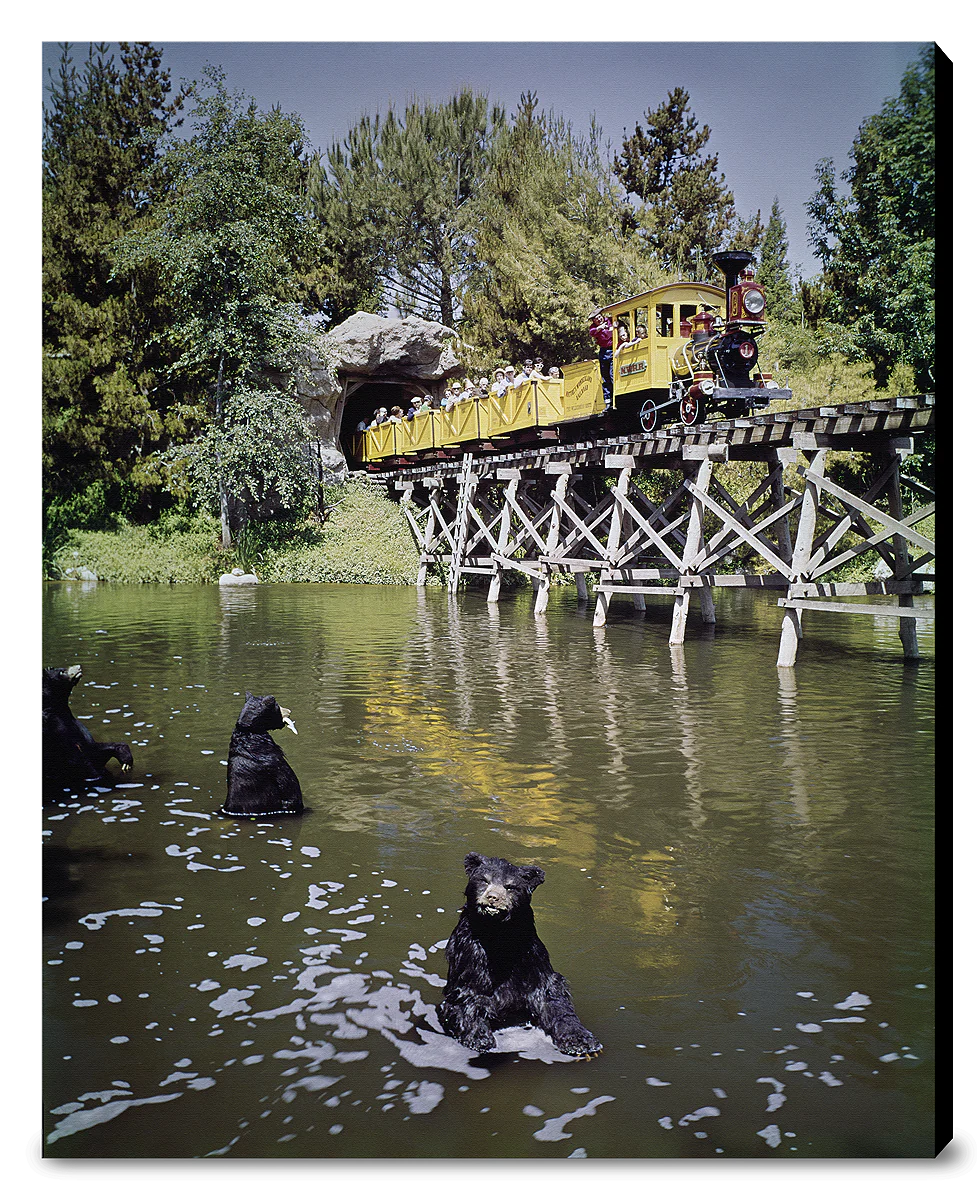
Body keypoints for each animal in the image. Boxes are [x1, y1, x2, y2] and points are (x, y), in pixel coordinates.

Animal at [437, 852, 602, 1058]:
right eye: (484, 880)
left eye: (510, 886)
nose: (493, 897)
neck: (498, 935)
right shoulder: (470, 956)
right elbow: (466, 996)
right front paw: (479, 1037)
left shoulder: (531, 958)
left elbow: (552, 997)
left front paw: (582, 1042)